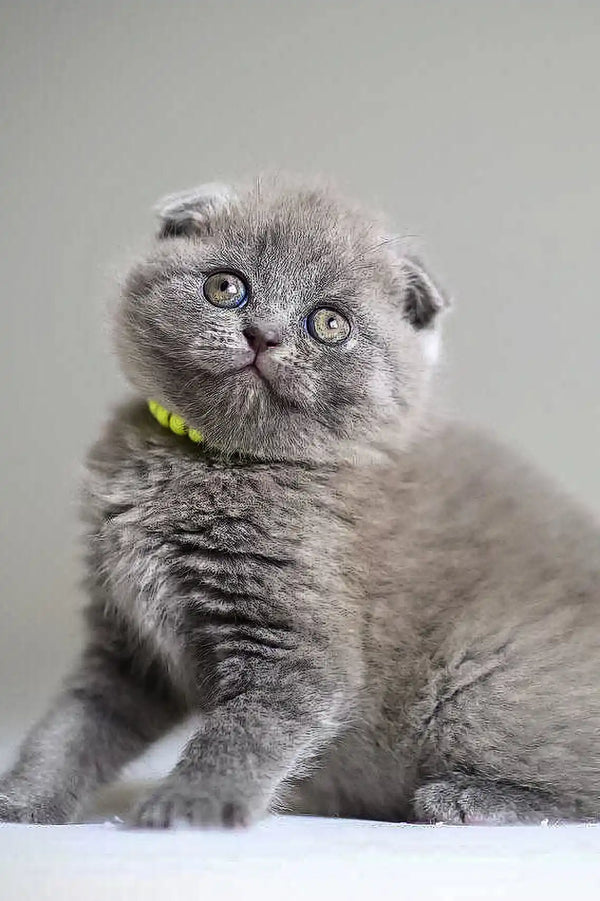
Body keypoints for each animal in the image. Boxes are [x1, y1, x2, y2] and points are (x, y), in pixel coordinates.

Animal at [1, 178, 600, 828]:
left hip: (481, 677)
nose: (262, 334)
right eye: (226, 287)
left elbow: (243, 733)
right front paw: (22, 801)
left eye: (329, 324)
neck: (216, 459)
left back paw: (466, 798)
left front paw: (189, 806)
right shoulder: (128, 646)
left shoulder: (294, 645)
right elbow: (72, 727)